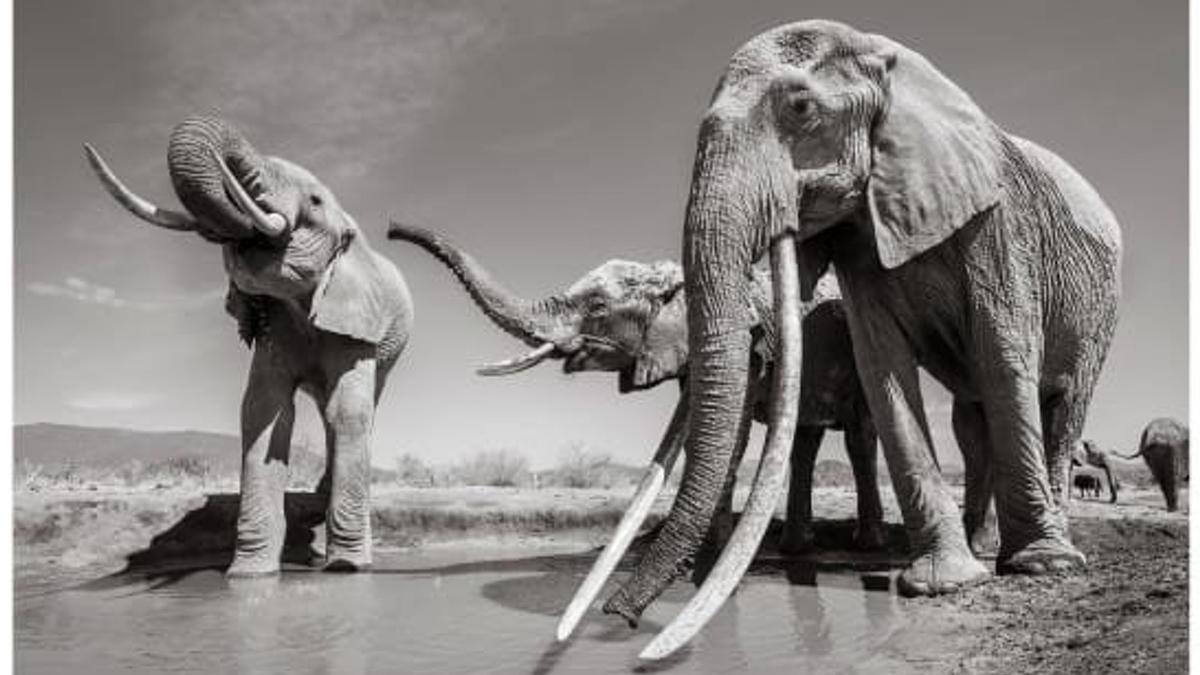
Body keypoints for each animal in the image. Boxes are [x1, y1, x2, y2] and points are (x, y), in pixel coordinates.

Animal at [85, 116, 413, 576]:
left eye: (314, 201)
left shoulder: (356, 322)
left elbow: (348, 411)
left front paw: (347, 567)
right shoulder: (273, 325)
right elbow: (264, 409)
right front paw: (249, 574)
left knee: (353, 408)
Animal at [590, 21, 1121, 659]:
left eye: (799, 108)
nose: (617, 620)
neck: (889, 60)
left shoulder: (999, 225)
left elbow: (1003, 353)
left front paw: (1037, 568)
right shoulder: (861, 242)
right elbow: (882, 366)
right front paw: (943, 582)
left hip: (1099, 313)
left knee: (1062, 405)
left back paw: (1046, 552)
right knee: (971, 423)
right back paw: (981, 547)